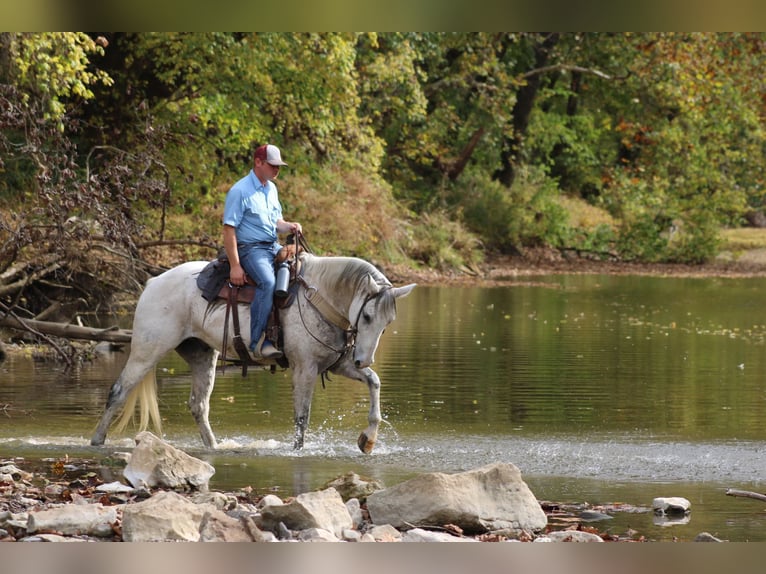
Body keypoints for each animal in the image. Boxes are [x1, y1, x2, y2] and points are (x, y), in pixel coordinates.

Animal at [90, 254, 416, 452]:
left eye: (388, 323)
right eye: (368, 316)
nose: (364, 359)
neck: (319, 297)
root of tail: (153, 283)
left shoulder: (335, 365)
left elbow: (374, 382)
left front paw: (368, 440)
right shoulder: (305, 368)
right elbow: (302, 416)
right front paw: (298, 451)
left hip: (201, 354)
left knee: (198, 405)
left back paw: (214, 447)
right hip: (148, 350)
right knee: (118, 391)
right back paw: (97, 440)